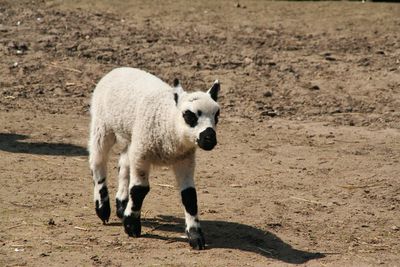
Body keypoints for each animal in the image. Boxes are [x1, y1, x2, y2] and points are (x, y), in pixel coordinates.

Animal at [88, 67, 222, 251]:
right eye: (189, 115)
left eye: (217, 115)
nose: (209, 138)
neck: (168, 122)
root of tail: (120, 69)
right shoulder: (142, 153)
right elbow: (139, 189)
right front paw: (131, 226)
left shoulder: (184, 159)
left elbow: (189, 196)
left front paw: (195, 236)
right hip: (102, 124)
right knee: (98, 162)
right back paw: (103, 208)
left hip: (133, 136)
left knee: (124, 162)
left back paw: (121, 205)